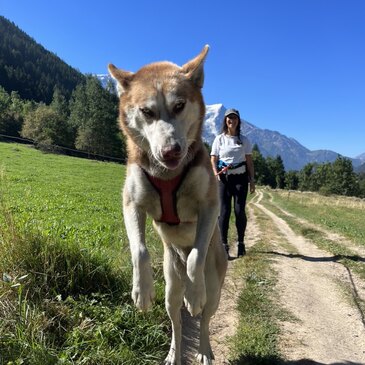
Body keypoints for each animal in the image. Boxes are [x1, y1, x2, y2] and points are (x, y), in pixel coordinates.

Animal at [108, 46, 226, 364]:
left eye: (180, 105)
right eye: (147, 112)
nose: (171, 150)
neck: (167, 176)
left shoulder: (210, 204)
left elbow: (196, 254)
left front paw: (194, 294)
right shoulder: (131, 203)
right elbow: (139, 250)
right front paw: (141, 290)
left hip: (215, 284)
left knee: (205, 317)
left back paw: (204, 348)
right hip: (172, 284)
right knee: (176, 319)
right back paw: (174, 352)